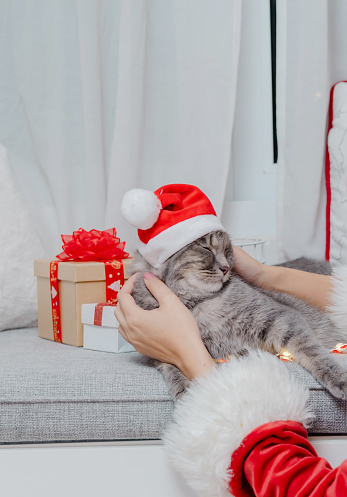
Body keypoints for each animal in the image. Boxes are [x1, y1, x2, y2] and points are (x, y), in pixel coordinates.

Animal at [130, 230, 347, 400]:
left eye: (227, 250)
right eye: (206, 248)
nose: (226, 268)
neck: (193, 303)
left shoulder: (281, 318)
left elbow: (312, 352)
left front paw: (338, 378)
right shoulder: (160, 348)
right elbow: (171, 367)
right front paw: (186, 392)